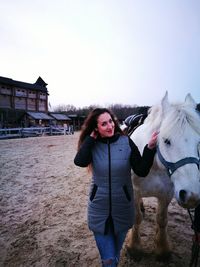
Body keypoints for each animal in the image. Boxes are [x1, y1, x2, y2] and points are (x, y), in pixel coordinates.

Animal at [126, 92, 200, 262]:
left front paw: (162, 249)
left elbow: (162, 220)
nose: (191, 196)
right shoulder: (134, 191)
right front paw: (134, 247)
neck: (153, 165)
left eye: (198, 143)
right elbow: (136, 218)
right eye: (166, 141)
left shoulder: (167, 194)